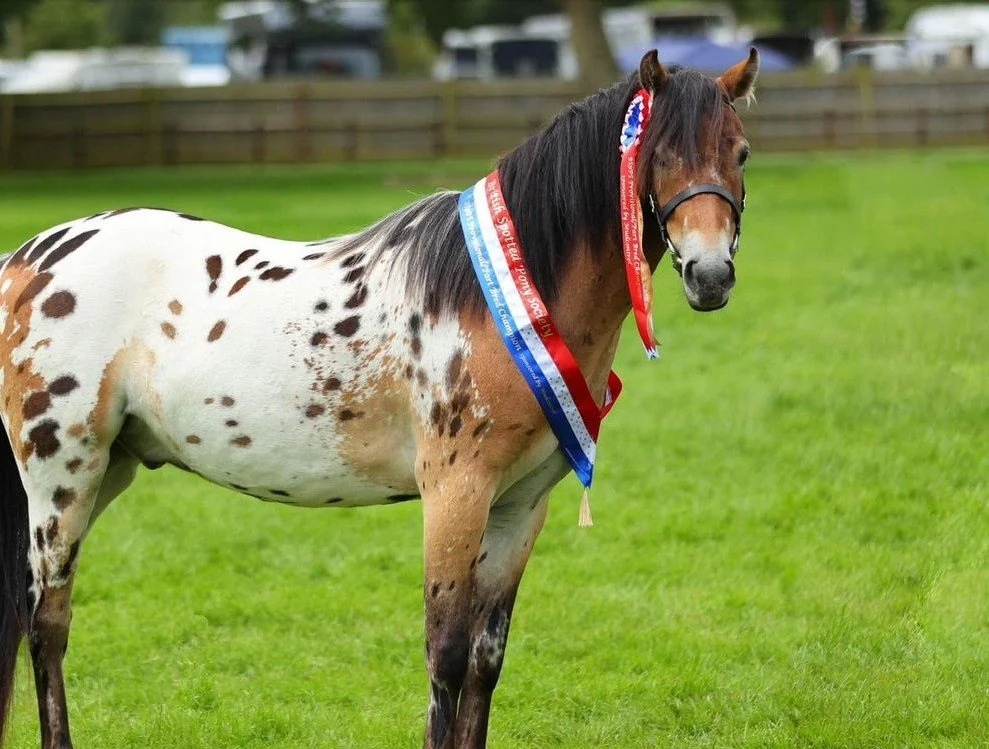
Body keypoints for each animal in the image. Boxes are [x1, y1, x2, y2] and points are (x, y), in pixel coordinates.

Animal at [0, 49, 758, 749]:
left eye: (741, 152)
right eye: (658, 155)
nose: (711, 274)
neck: (503, 297)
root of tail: (29, 257)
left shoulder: (519, 505)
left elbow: (485, 660)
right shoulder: (455, 494)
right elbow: (445, 657)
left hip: (109, 468)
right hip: (61, 477)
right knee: (48, 625)